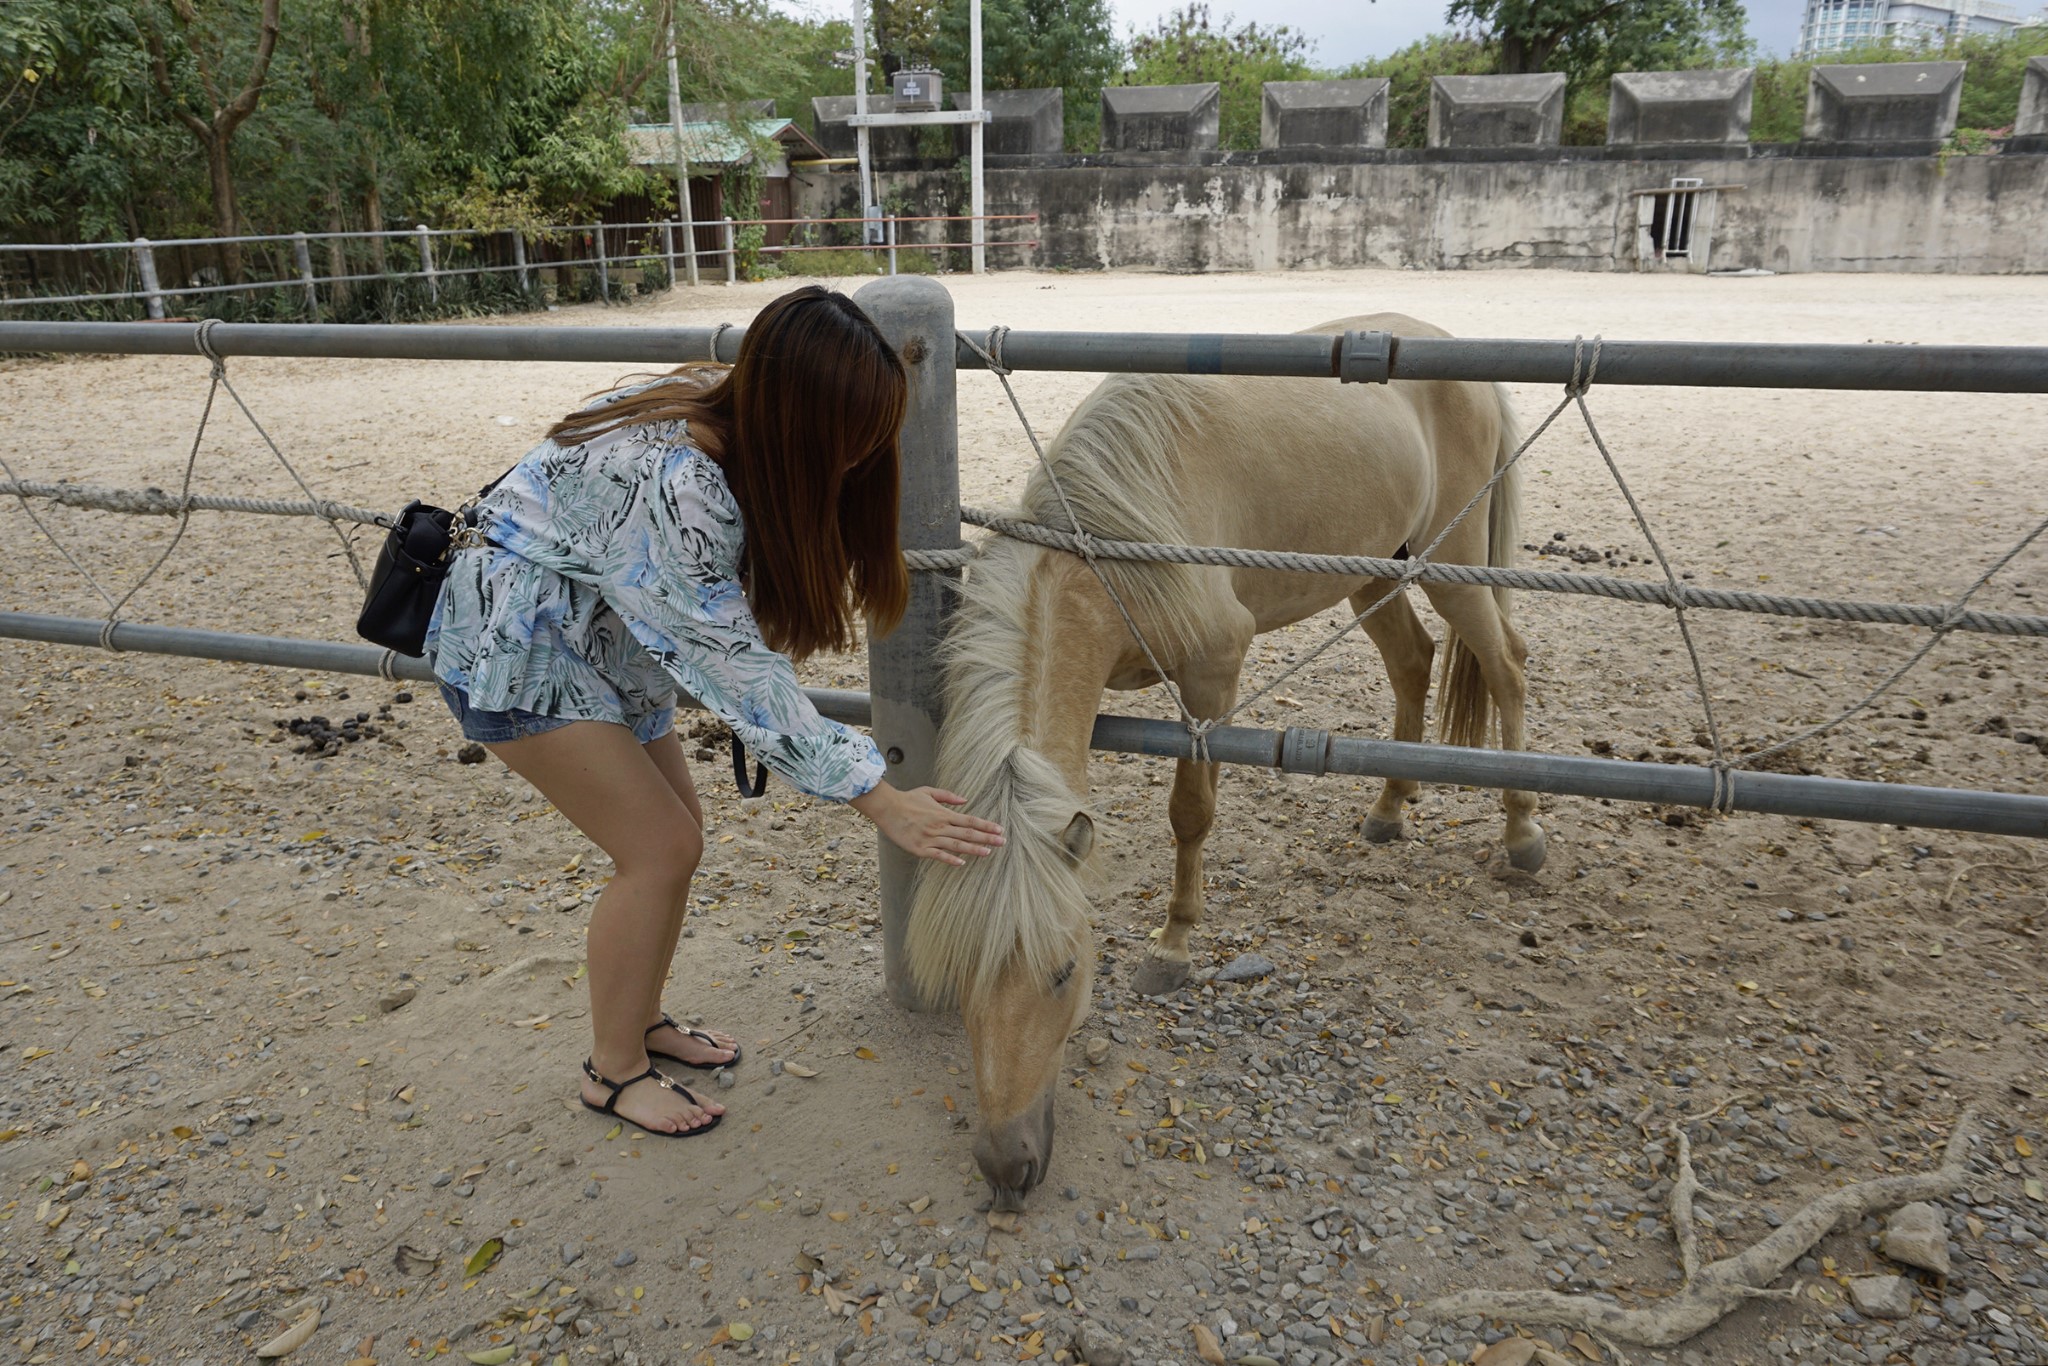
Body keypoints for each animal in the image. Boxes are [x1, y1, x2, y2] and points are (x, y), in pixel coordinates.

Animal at [909, 309, 1540, 1204]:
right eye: (960, 973)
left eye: (1064, 971)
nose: (1007, 1167)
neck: (1112, 544)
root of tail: (1454, 349)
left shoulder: (1212, 677)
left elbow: (1191, 813)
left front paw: (1173, 948)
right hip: (1376, 569)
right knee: (1413, 661)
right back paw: (1388, 807)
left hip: (1454, 567)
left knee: (1507, 664)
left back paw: (1522, 834)